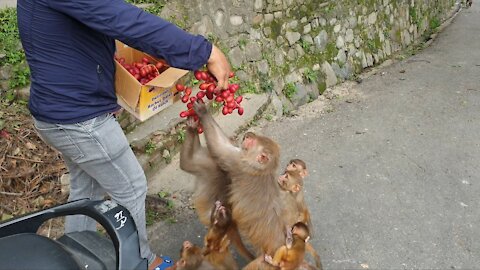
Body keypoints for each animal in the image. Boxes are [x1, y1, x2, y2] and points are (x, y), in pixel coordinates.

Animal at [191, 101, 296, 255]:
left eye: (251, 141)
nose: (247, 135)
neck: (261, 170)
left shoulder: (239, 163)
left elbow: (219, 148)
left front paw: (202, 111)